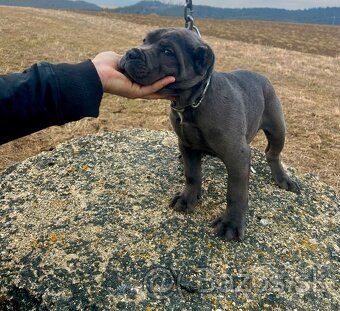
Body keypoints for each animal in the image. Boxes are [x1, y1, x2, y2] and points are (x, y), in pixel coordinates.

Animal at [118, 28, 298, 241]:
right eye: (145, 40)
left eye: (167, 51)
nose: (131, 53)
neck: (192, 103)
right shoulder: (186, 145)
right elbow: (192, 174)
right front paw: (187, 198)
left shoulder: (237, 156)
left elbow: (236, 193)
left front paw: (231, 223)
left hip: (277, 128)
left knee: (273, 154)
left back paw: (283, 179)